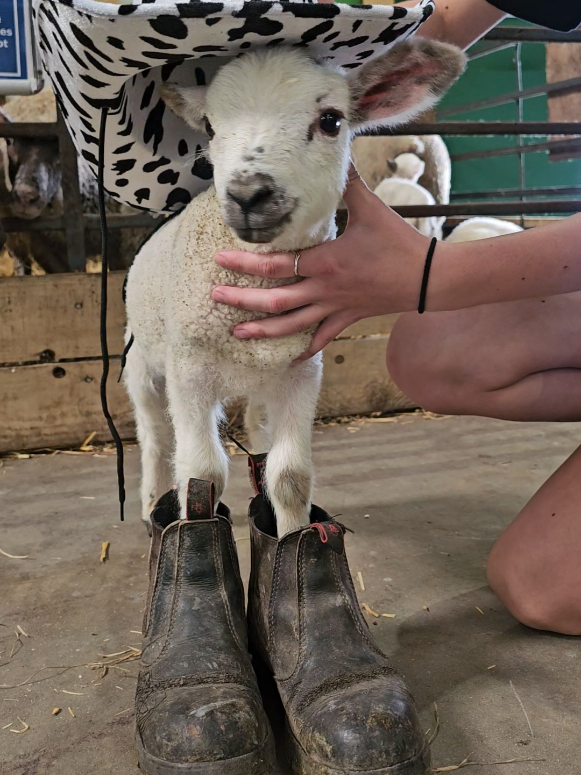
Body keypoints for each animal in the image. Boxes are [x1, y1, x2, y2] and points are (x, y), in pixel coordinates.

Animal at [123, 40, 465, 537]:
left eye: (332, 121)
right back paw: (150, 502)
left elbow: (290, 477)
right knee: (151, 434)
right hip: (141, 359)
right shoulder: (188, 368)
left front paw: (289, 535)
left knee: (255, 426)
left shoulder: (301, 372)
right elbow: (200, 474)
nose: (248, 195)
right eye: (209, 126)